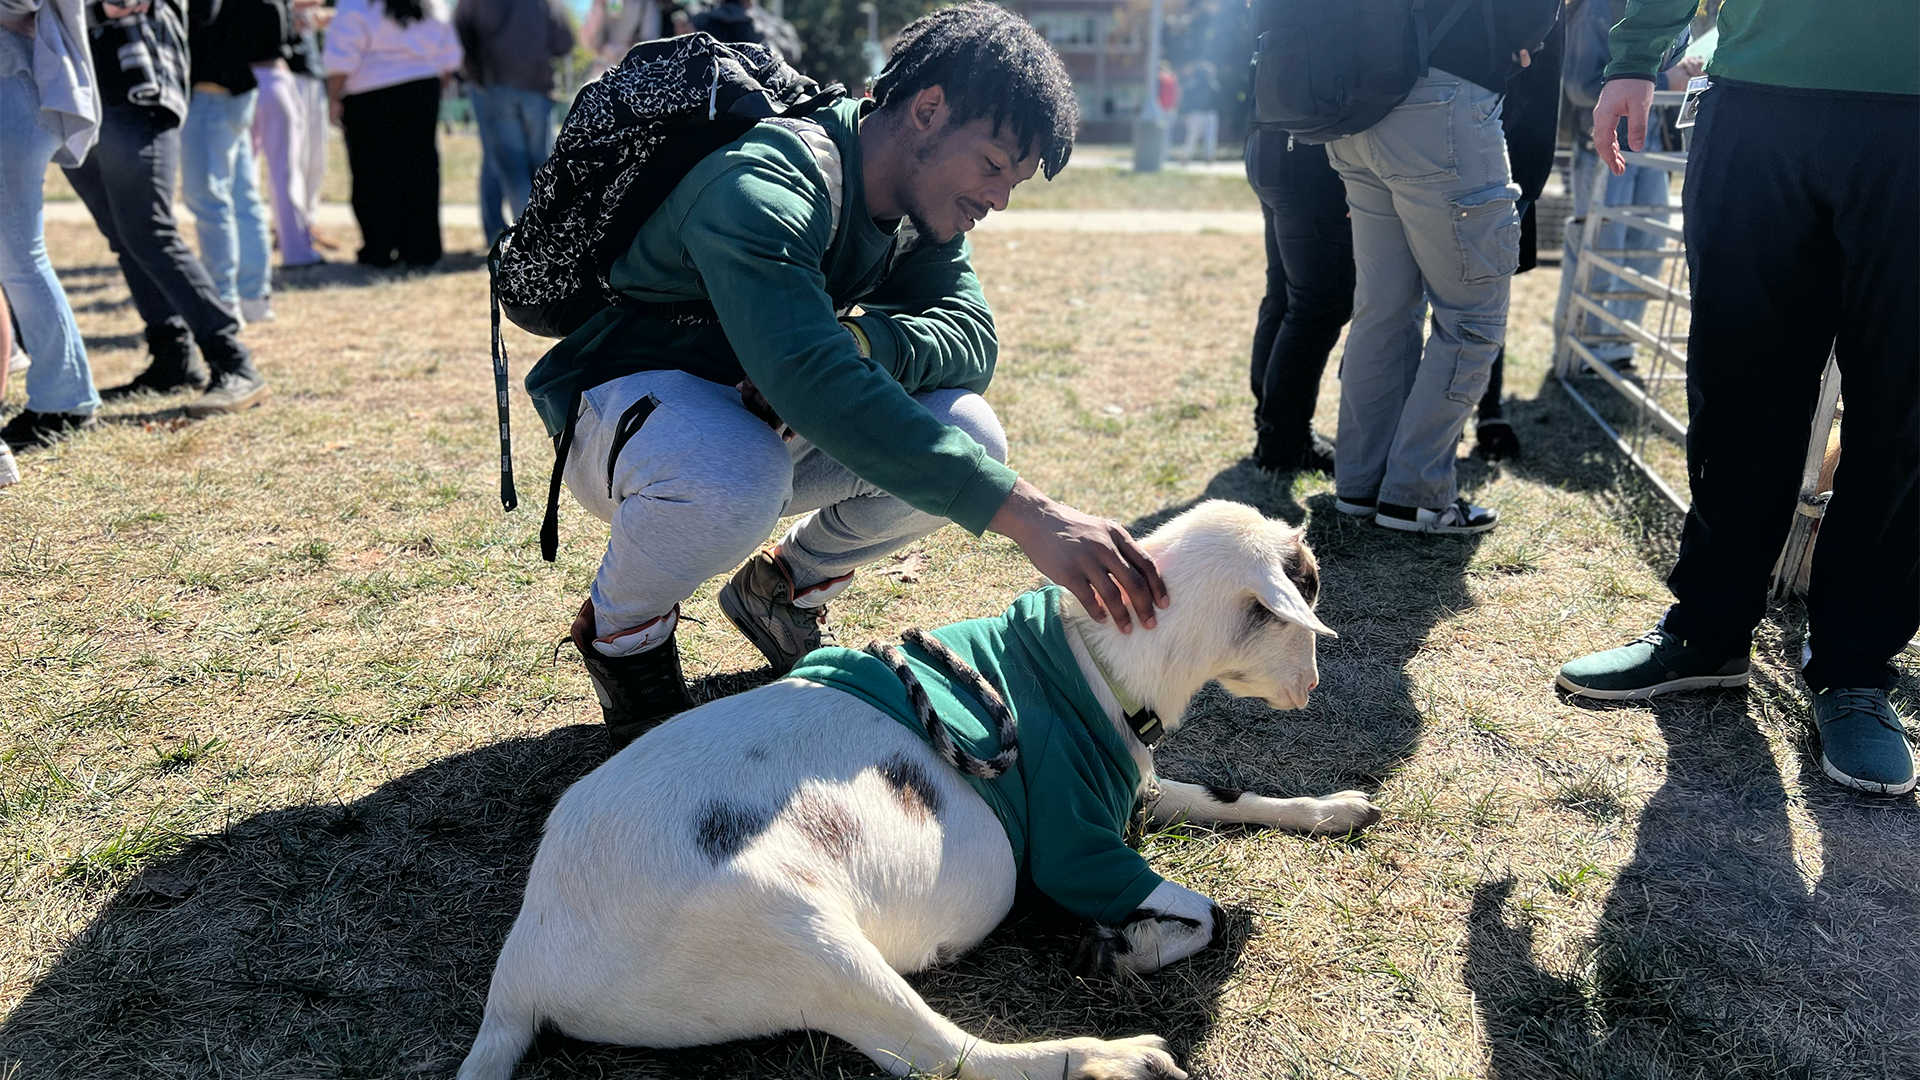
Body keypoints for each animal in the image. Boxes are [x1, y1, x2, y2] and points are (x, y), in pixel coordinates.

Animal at [460, 499, 1382, 1076]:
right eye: (1305, 591)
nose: (1311, 687)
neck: (1097, 655)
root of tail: (525, 968)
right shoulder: (1075, 843)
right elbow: (1207, 914)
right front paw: (1123, 947)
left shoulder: (1135, 788)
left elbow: (1225, 795)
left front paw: (1337, 808)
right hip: (798, 937)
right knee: (941, 1055)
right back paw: (1110, 1058)